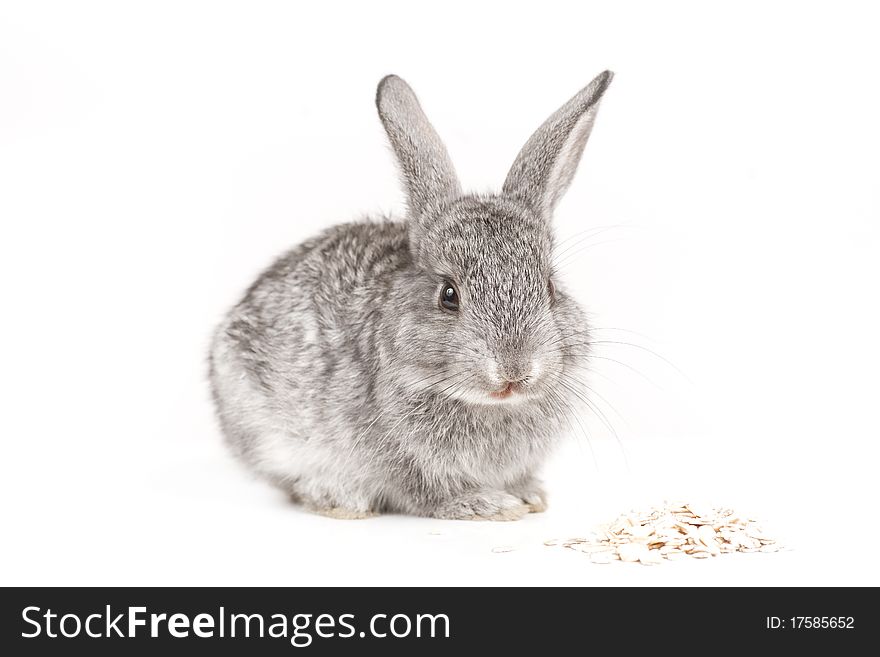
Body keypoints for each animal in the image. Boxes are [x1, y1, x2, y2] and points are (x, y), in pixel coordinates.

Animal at [210, 72, 616, 520]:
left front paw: (528, 495)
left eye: (549, 288)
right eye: (449, 295)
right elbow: (428, 492)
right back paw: (339, 498)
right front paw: (486, 505)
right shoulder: (402, 458)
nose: (515, 370)